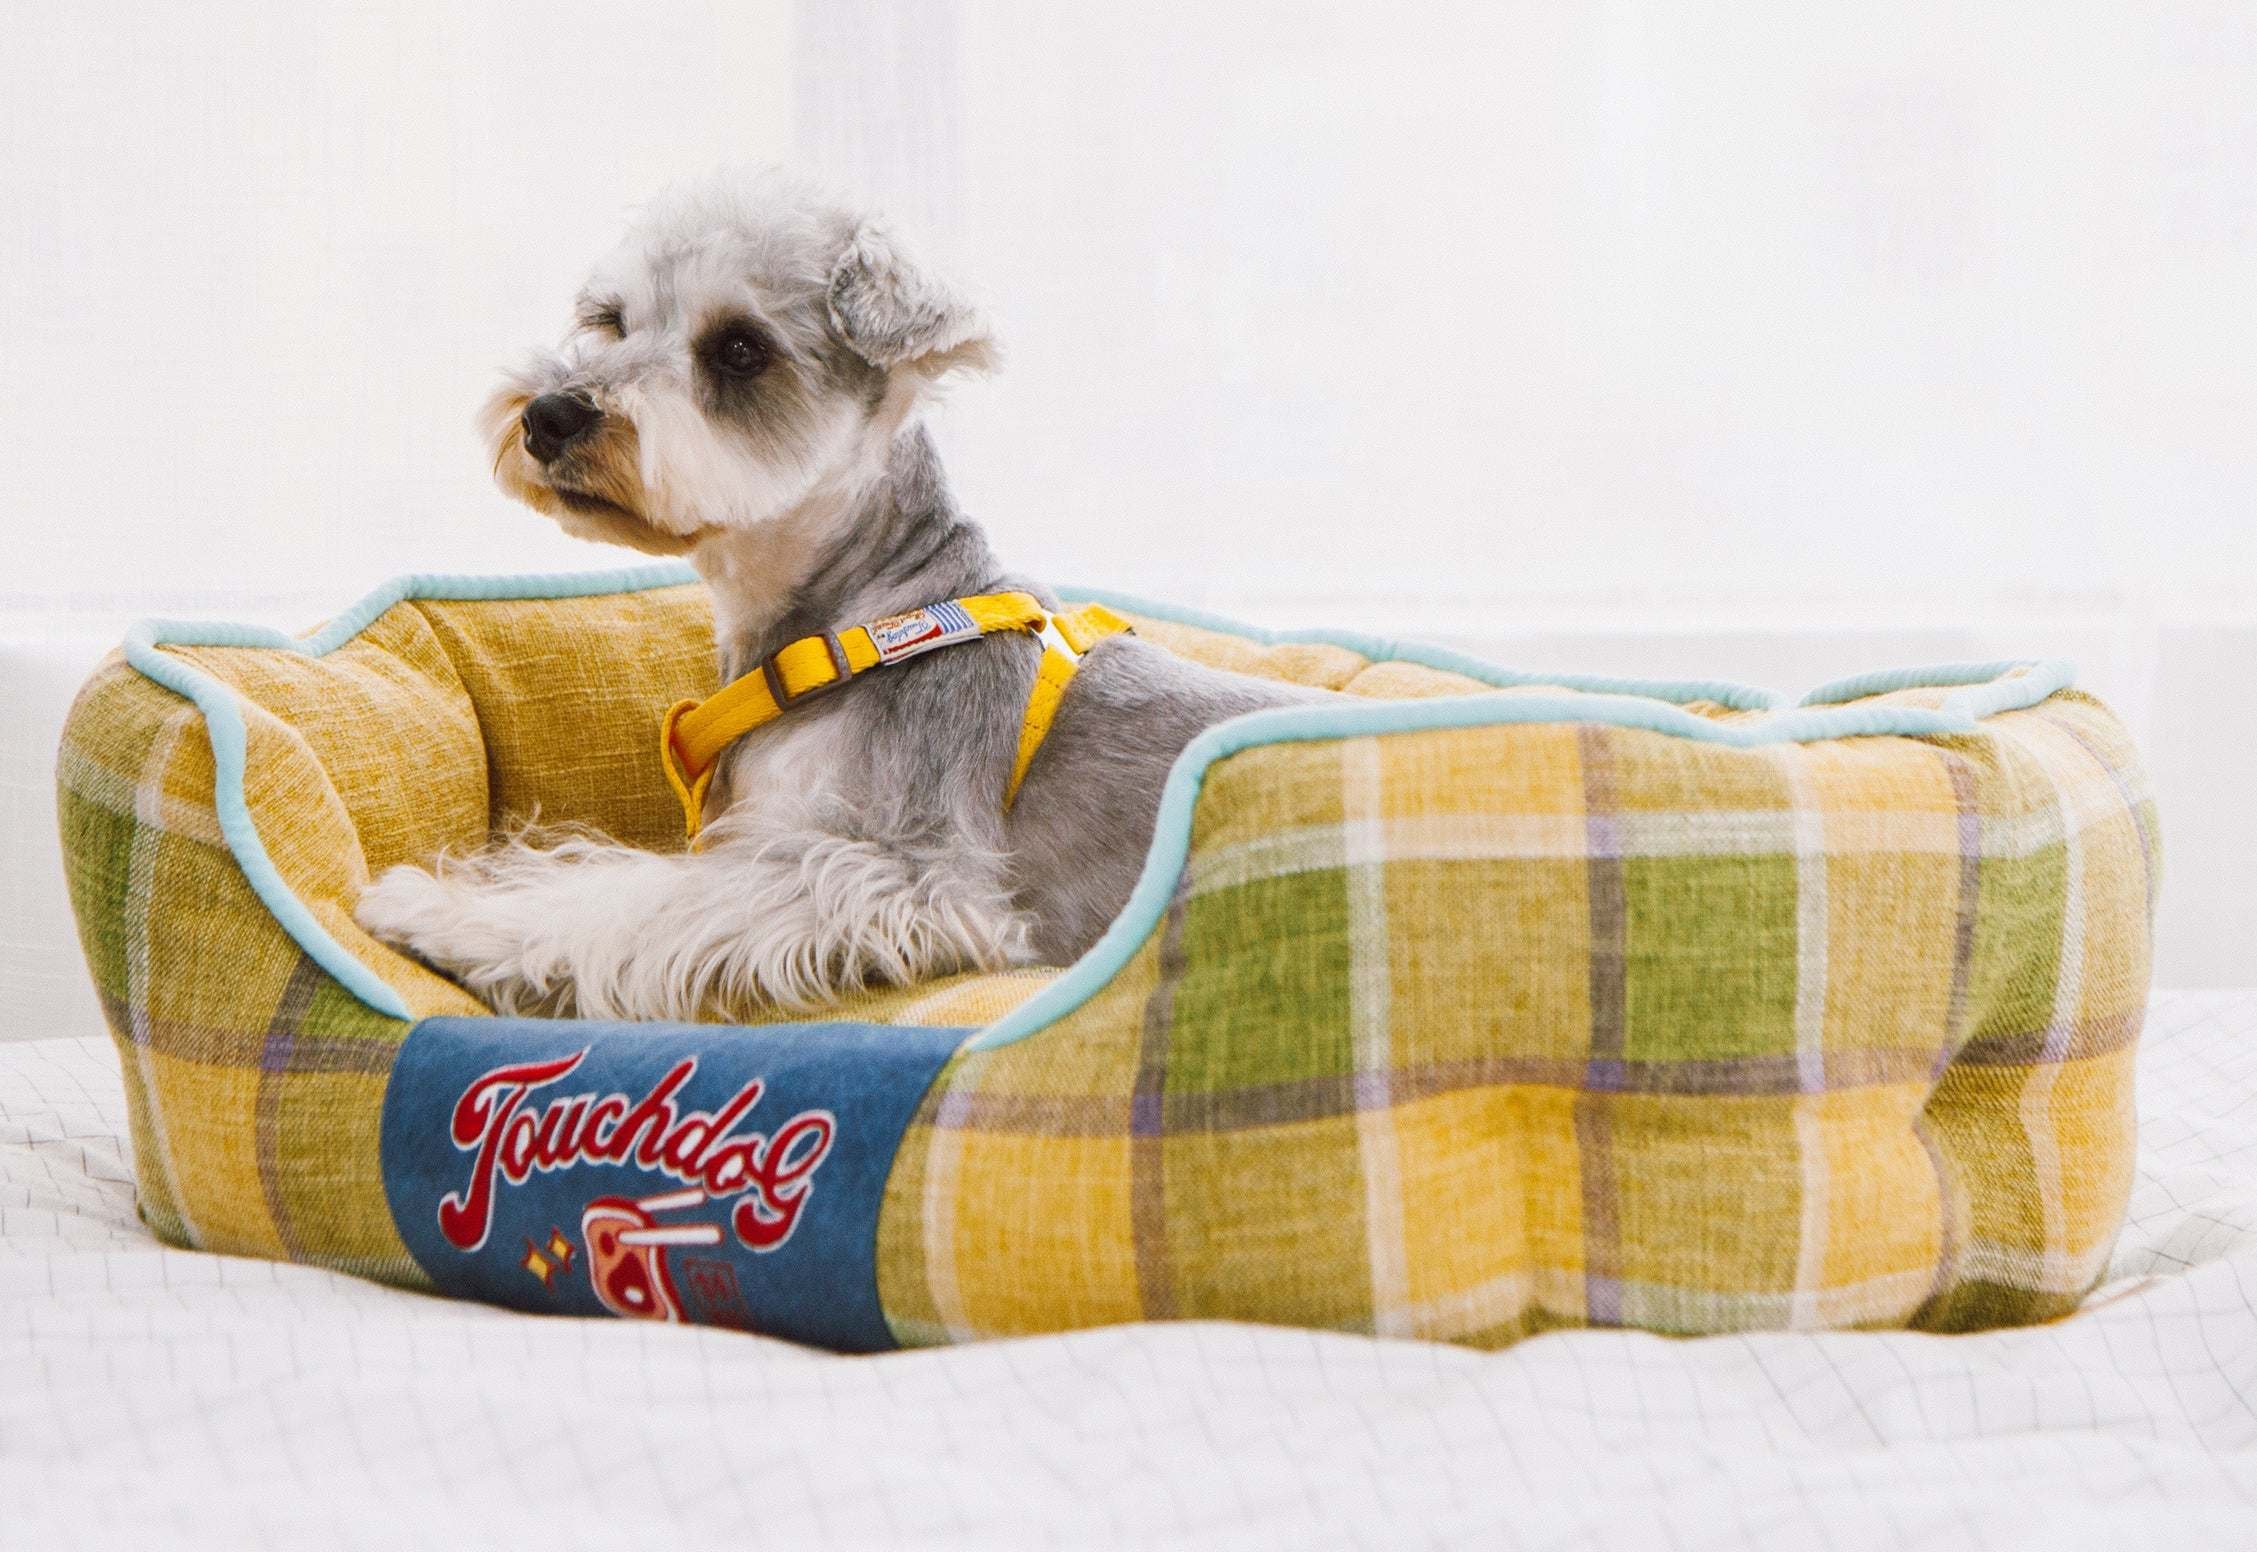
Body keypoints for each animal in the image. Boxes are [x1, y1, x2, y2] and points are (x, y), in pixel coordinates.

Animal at [355, 170, 1322, 1020]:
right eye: (609, 321)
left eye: (740, 349)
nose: (550, 413)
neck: (853, 613)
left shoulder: (894, 866)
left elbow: (637, 896)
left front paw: (437, 911)